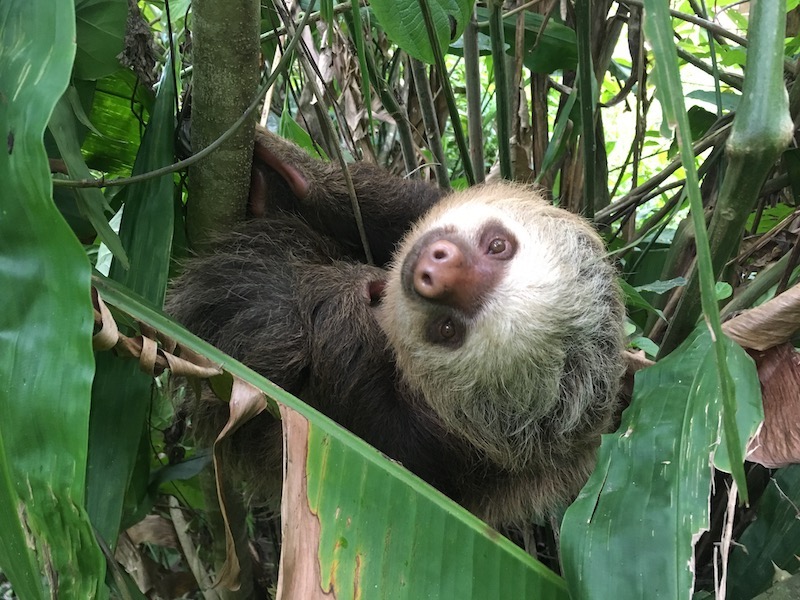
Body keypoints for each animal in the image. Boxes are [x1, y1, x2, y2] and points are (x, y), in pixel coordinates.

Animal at [166, 128, 626, 528]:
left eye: (448, 329)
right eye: (499, 245)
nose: (435, 270)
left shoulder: (434, 458)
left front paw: (336, 297)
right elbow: (391, 202)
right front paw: (290, 175)